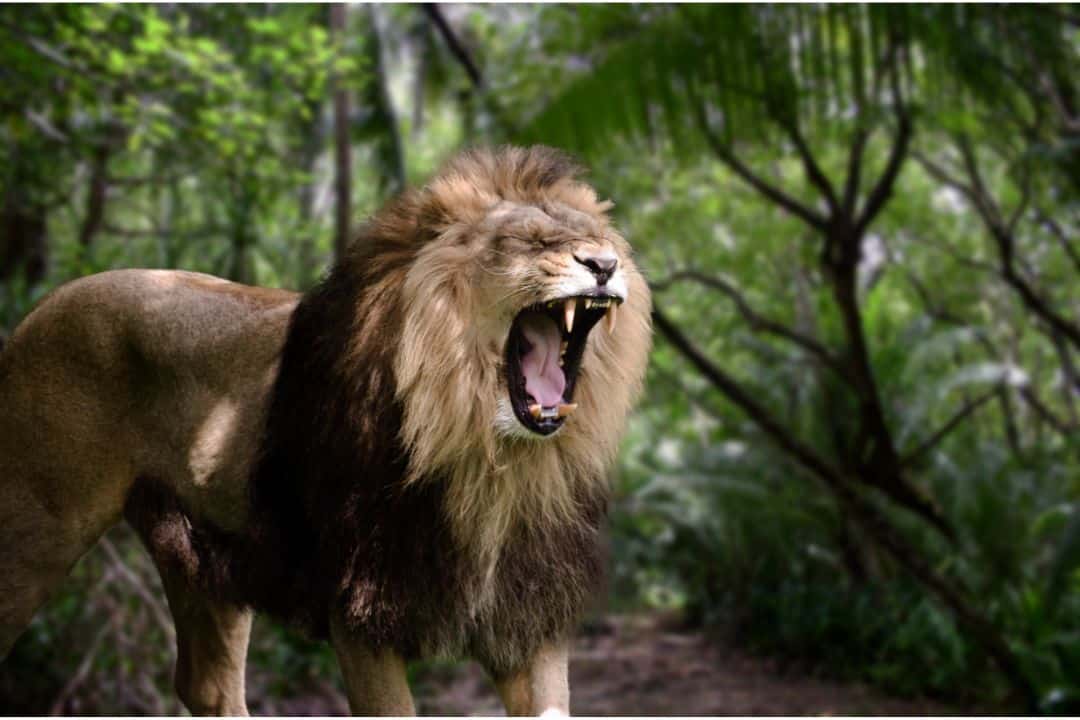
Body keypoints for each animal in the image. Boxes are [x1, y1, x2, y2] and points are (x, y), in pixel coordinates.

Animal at [0, 146, 651, 715]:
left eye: (604, 243)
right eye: (531, 242)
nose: (604, 266)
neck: (488, 454)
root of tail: (40, 308)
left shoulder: (530, 610)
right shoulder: (361, 605)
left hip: (201, 556)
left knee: (207, 688)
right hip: (35, 530)